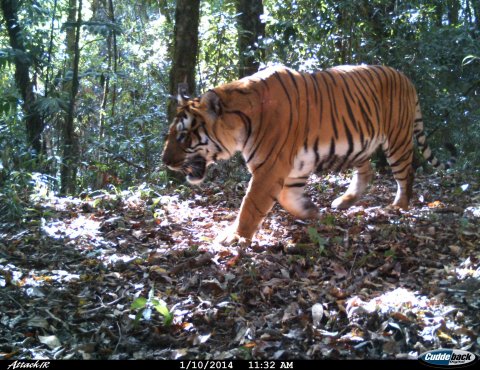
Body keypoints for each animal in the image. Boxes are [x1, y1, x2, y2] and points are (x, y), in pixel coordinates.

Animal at [162, 65, 454, 246]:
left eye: (183, 135)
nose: (165, 162)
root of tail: (405, 77)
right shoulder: (292, 166)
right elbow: (286, 196)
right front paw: (311, 211)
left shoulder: (270, 167)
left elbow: (250, 205)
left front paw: (234, 238)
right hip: (362, 144)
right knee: (368, 171)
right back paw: (344, 201)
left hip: (397, 139)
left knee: (406, 173)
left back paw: (398, 207)